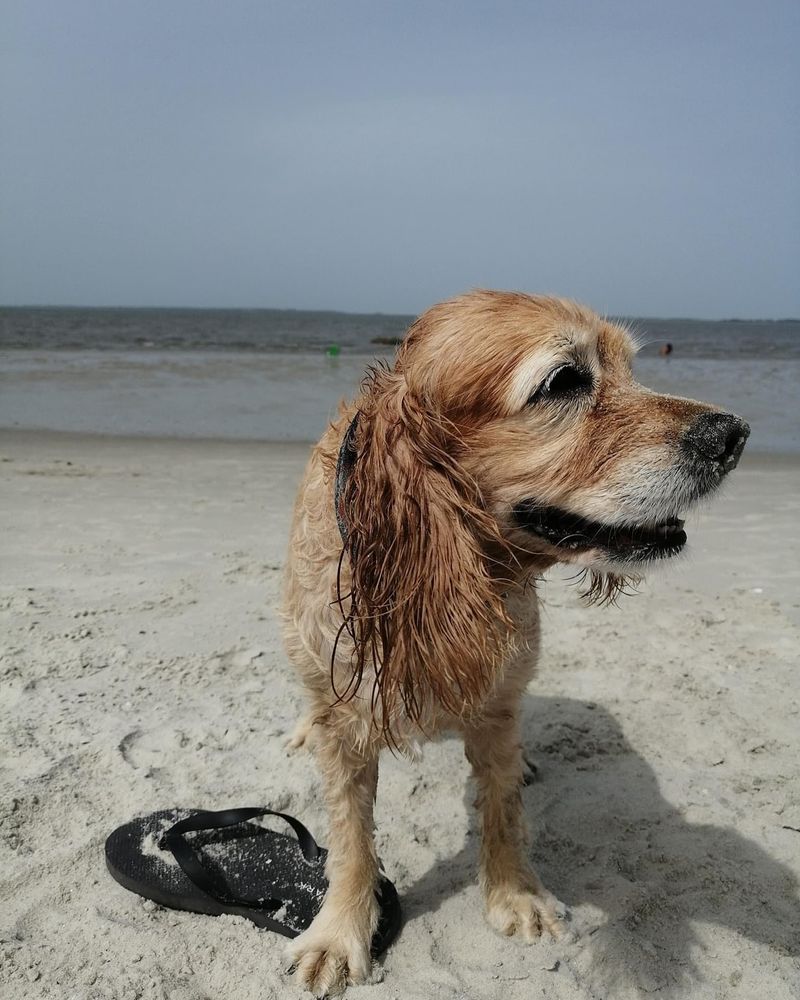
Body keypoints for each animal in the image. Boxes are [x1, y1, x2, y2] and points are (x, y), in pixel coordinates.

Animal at [282, 290, 752, 992]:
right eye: (563, 382)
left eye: (631, 368)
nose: (734, 435)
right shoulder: (344, 725)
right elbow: (351, 839)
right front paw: (339, 933)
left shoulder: (498, 707)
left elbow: (503, 808)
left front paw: (515, 895)